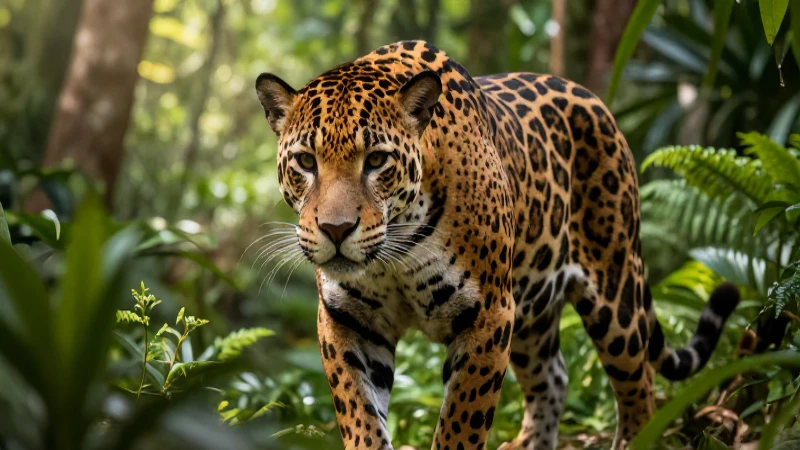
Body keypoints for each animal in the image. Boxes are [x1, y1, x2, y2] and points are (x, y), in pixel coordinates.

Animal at [254, 40, 740, 450]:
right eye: (305, 161)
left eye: (376, 161)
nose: (336, 230)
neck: (398, 247)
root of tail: (591, 97)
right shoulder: (347, 320)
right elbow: (362, 421)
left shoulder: (488, 315)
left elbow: (460, 426)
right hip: (532, 309)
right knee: (554, 377)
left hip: (613, 288)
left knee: (639, 385)